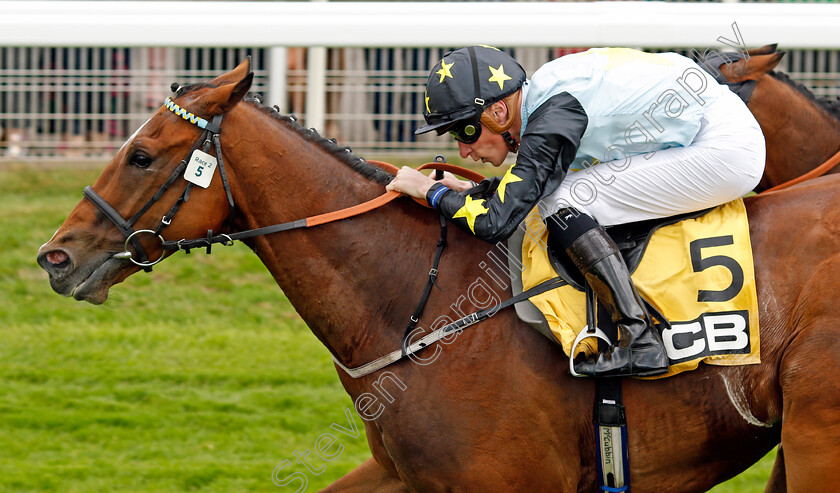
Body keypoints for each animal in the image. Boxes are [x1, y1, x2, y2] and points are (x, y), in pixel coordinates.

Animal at [34, 59, 840, 490]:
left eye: (143, 155)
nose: (56, 257)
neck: (420, 305)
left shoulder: (515, 480)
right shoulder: (405, 473)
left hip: (816, 432)